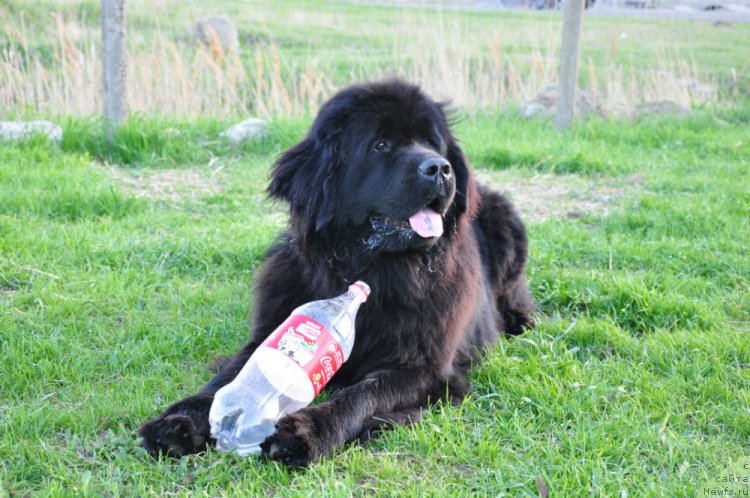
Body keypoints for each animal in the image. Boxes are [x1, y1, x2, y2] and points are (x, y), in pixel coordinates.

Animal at [138, 79, 536, 466]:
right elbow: (231, 375)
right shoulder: (270, 331)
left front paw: (308, 431)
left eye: (432, 142)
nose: (439, 167)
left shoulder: (424, 369)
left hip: (507, 221)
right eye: (380, 145)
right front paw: (180, 418)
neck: (373, 273)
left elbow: (364, 394)